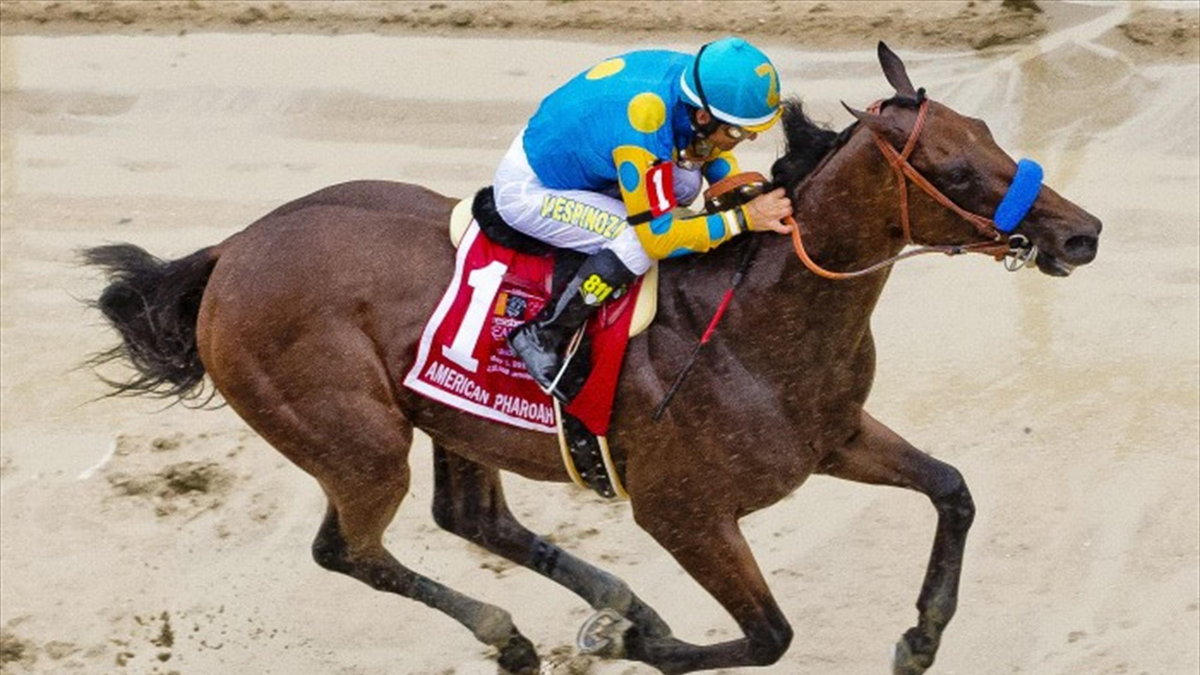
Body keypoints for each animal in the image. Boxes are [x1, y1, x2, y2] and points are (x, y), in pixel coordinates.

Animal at [82, 44, 1099, 667]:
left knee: (472, 518)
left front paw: (921, 638)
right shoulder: (683, 514)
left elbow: (953, 490)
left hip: (456, 417)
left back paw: (608, 603)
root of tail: (231, 252)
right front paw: (624, 645)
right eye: (956, 170)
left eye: (995, 135)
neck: (759, 320)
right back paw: (525, 632)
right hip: (358, 443)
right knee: (351, 548)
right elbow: (769, 634)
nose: (1081, 233)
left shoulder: (835, 435)